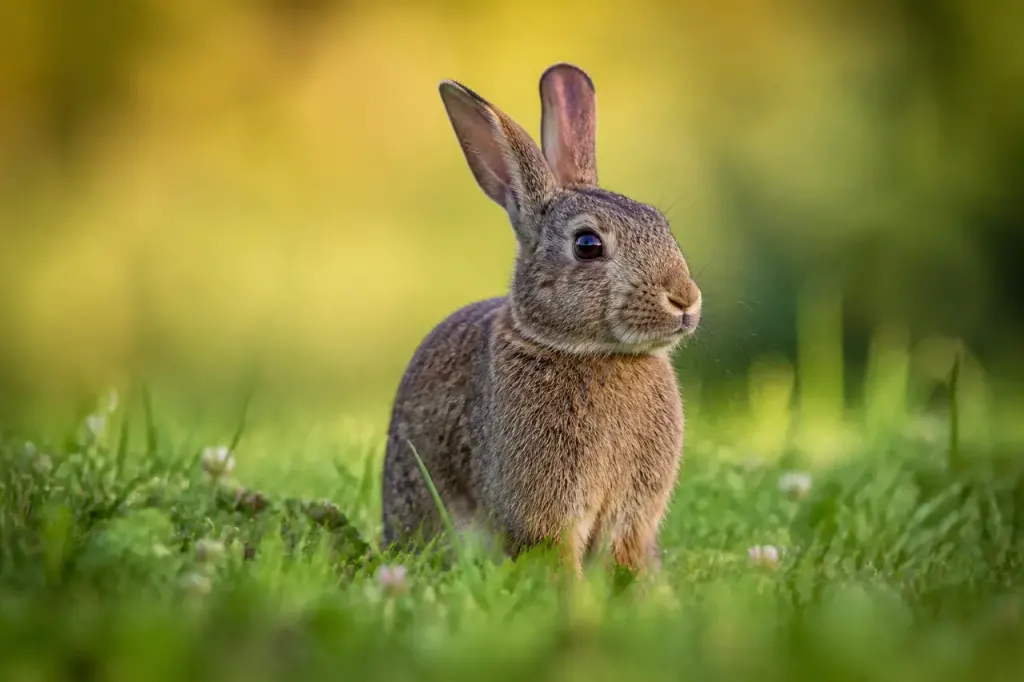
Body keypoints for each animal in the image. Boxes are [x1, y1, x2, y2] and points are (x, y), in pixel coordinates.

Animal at [381, 63, 702, 577]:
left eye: (661, 225)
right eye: (587, 245)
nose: (685, 300)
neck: (594, 353)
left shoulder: (631, 520)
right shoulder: (544, 513)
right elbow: (555, 554)